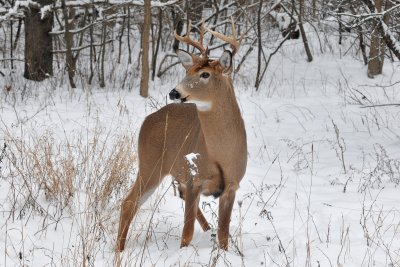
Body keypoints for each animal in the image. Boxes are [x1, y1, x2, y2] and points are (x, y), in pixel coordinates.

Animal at [116, 21, 247, 253]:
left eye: (205, 74)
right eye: (188, 71)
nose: (174, 92)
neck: (221, 155)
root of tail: (147, 120)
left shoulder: (232, 185)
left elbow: (224, 235)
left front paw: (222, 252)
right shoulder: (194, 179)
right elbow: (187, 232)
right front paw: (184, 252)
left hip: (173, 170)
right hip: (150, 164)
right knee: (128, 202)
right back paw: (119, 250)